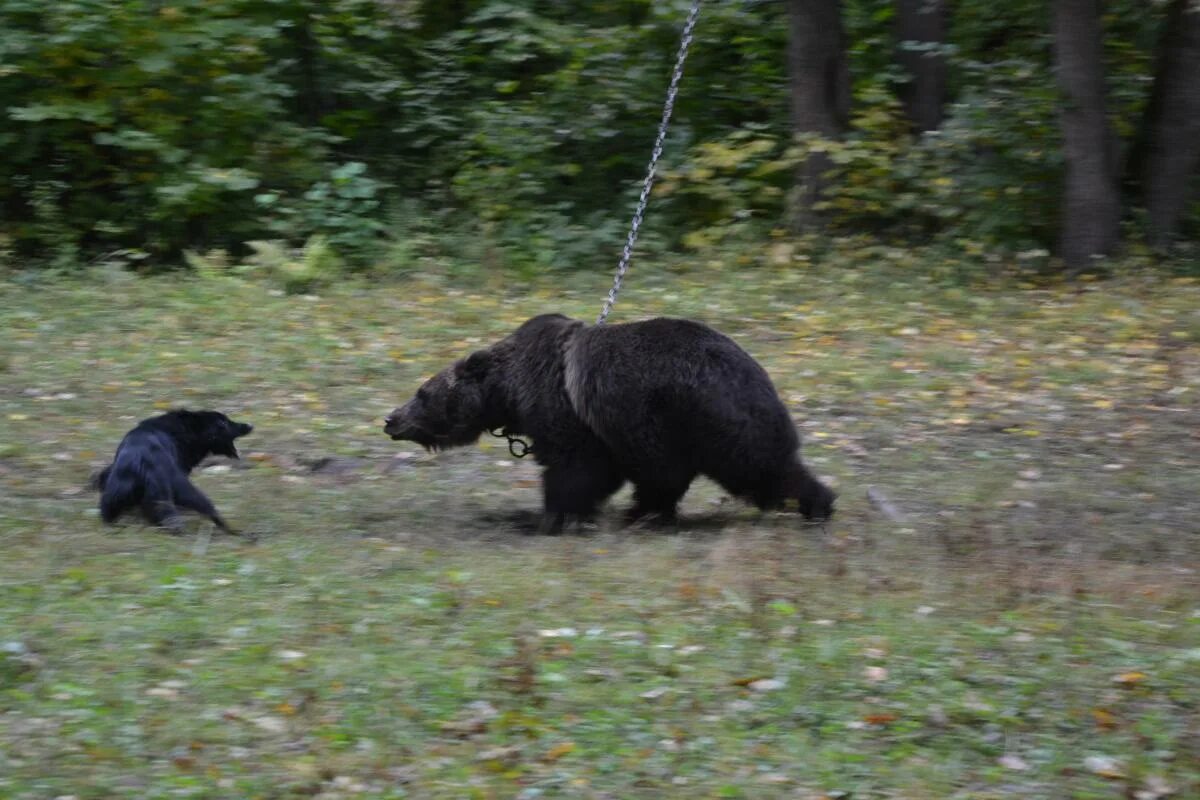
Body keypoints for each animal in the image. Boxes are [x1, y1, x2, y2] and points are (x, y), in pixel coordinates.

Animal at [94, 410, 253, 534]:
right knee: (211, 512)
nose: (249, 425)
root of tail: (142, 460)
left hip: (114, 494)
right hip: (185, 489)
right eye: (224, 423)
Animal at [384, 311, 835, 532]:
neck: (509, 393)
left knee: (759, 469)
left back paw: (816, 503)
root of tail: (761, 378)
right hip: (677, 427)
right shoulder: (615, 433)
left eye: (422, 393)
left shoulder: (568, 416)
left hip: (703, 416)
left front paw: (551, 517)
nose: (390, 419)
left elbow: (574, 471)